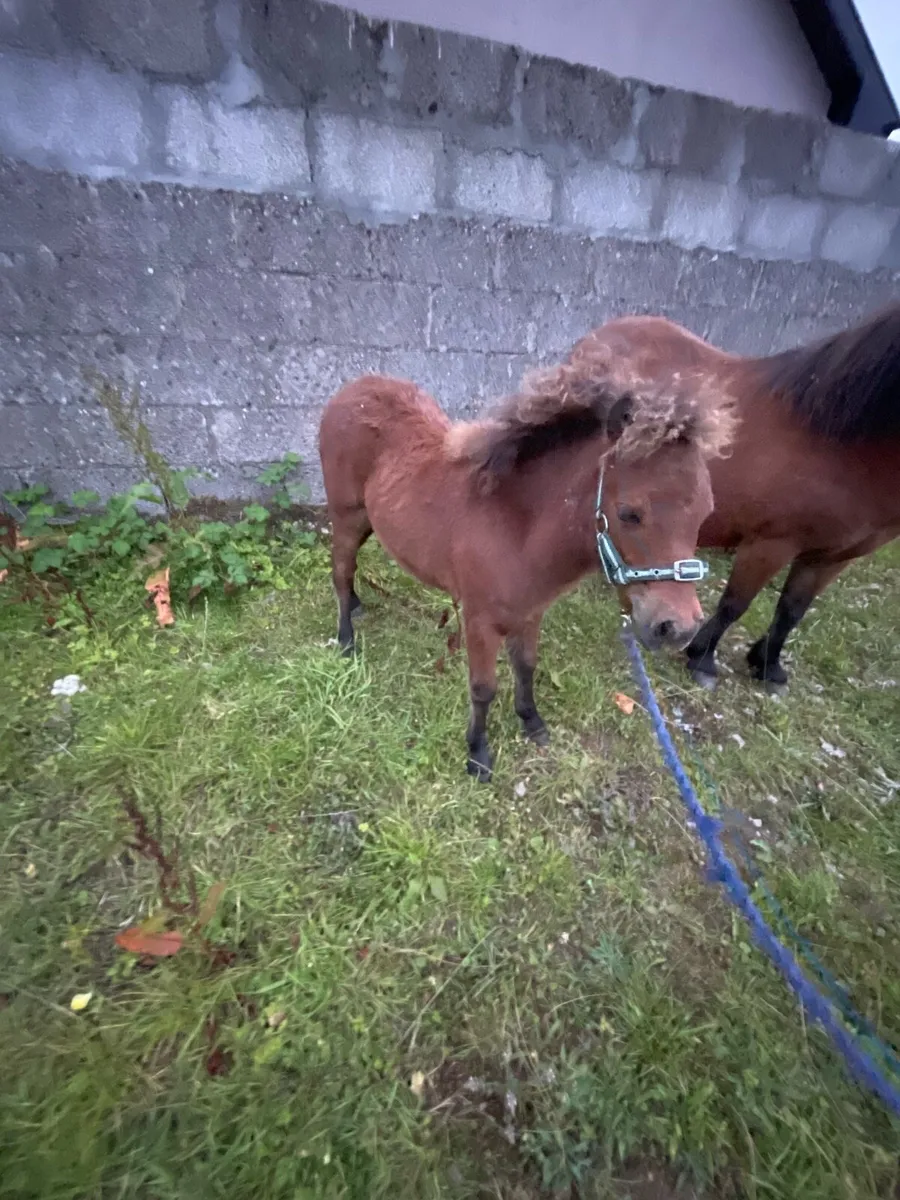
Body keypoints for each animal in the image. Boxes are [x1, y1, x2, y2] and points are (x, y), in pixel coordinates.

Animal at [318, 362, 734, 781]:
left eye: (706, 512)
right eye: (629, 513)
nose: (678, 628)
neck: (516, 528)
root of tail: (351, 390)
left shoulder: (531, 612)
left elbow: (527, 666)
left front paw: (532, 723)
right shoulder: (480, 621)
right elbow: (483, 688)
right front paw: (478, 755)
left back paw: (356, 605)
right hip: (346, 517)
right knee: (340, 570)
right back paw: (346, 640)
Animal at [567, 304, 900, 690]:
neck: (838, 442)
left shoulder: (833, 557)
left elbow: (792, 610)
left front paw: (768, 665)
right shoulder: (771, 543)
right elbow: (735, 603)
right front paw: (703, 659)